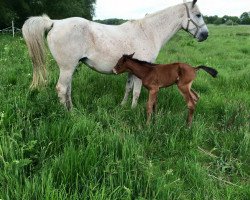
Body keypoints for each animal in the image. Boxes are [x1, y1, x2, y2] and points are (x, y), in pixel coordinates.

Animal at [22, 0, 208, 110]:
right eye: (198, 14)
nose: (205, 35)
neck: (148, 32)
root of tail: (54, 22)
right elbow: (137, 92)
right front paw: (133, 110)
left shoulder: (132, 70)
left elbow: (128, 89)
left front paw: (123, 106)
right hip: (67, 68)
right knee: (61, 89)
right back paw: (68, 114)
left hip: (70, 68)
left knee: (67, 89)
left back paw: (72, 109)